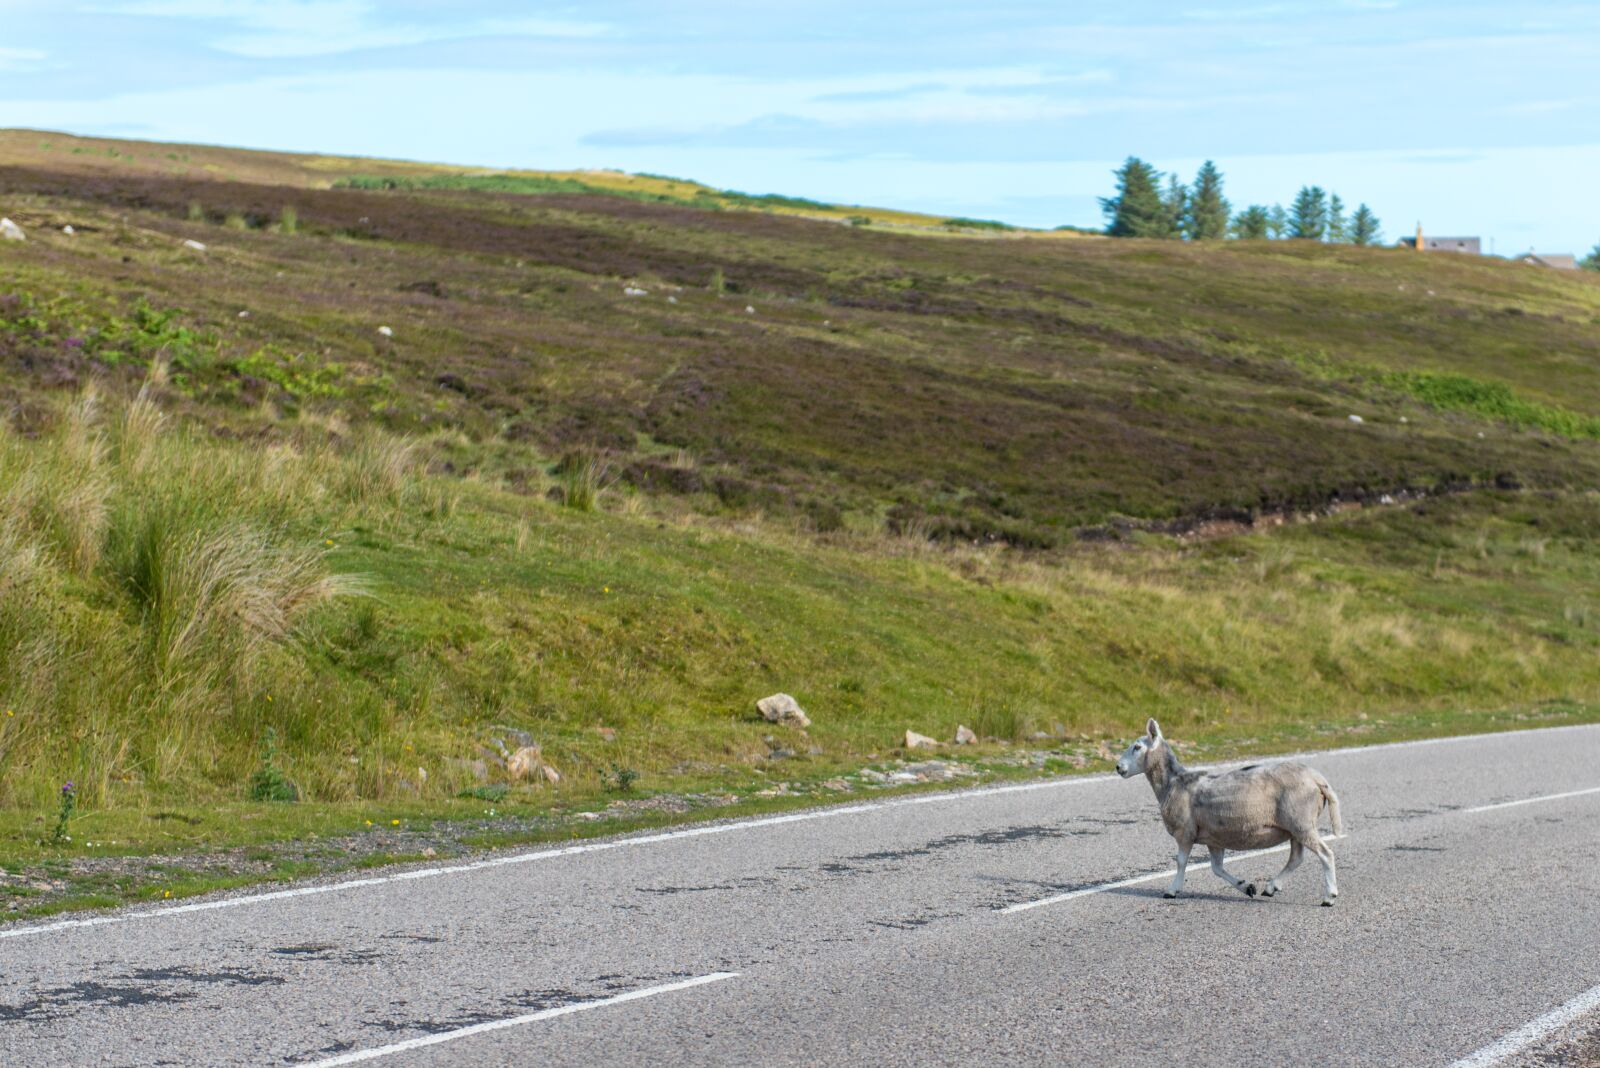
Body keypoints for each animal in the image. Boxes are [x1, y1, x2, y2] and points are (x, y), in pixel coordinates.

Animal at [1116, 718, 1342, 906]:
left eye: (1137, 747)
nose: (1118, 767)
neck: (1173, 782)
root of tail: (1317, 779)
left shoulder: (1185, 832)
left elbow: (1181, 862)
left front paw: (1171, 890)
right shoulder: (1213, 837)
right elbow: (1217, 868)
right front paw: (1246, 886)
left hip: (1301, 821)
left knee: (1325, 853)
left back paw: (1329, 897)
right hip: (1295, 826)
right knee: (1296, 858)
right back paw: (1271, 887)